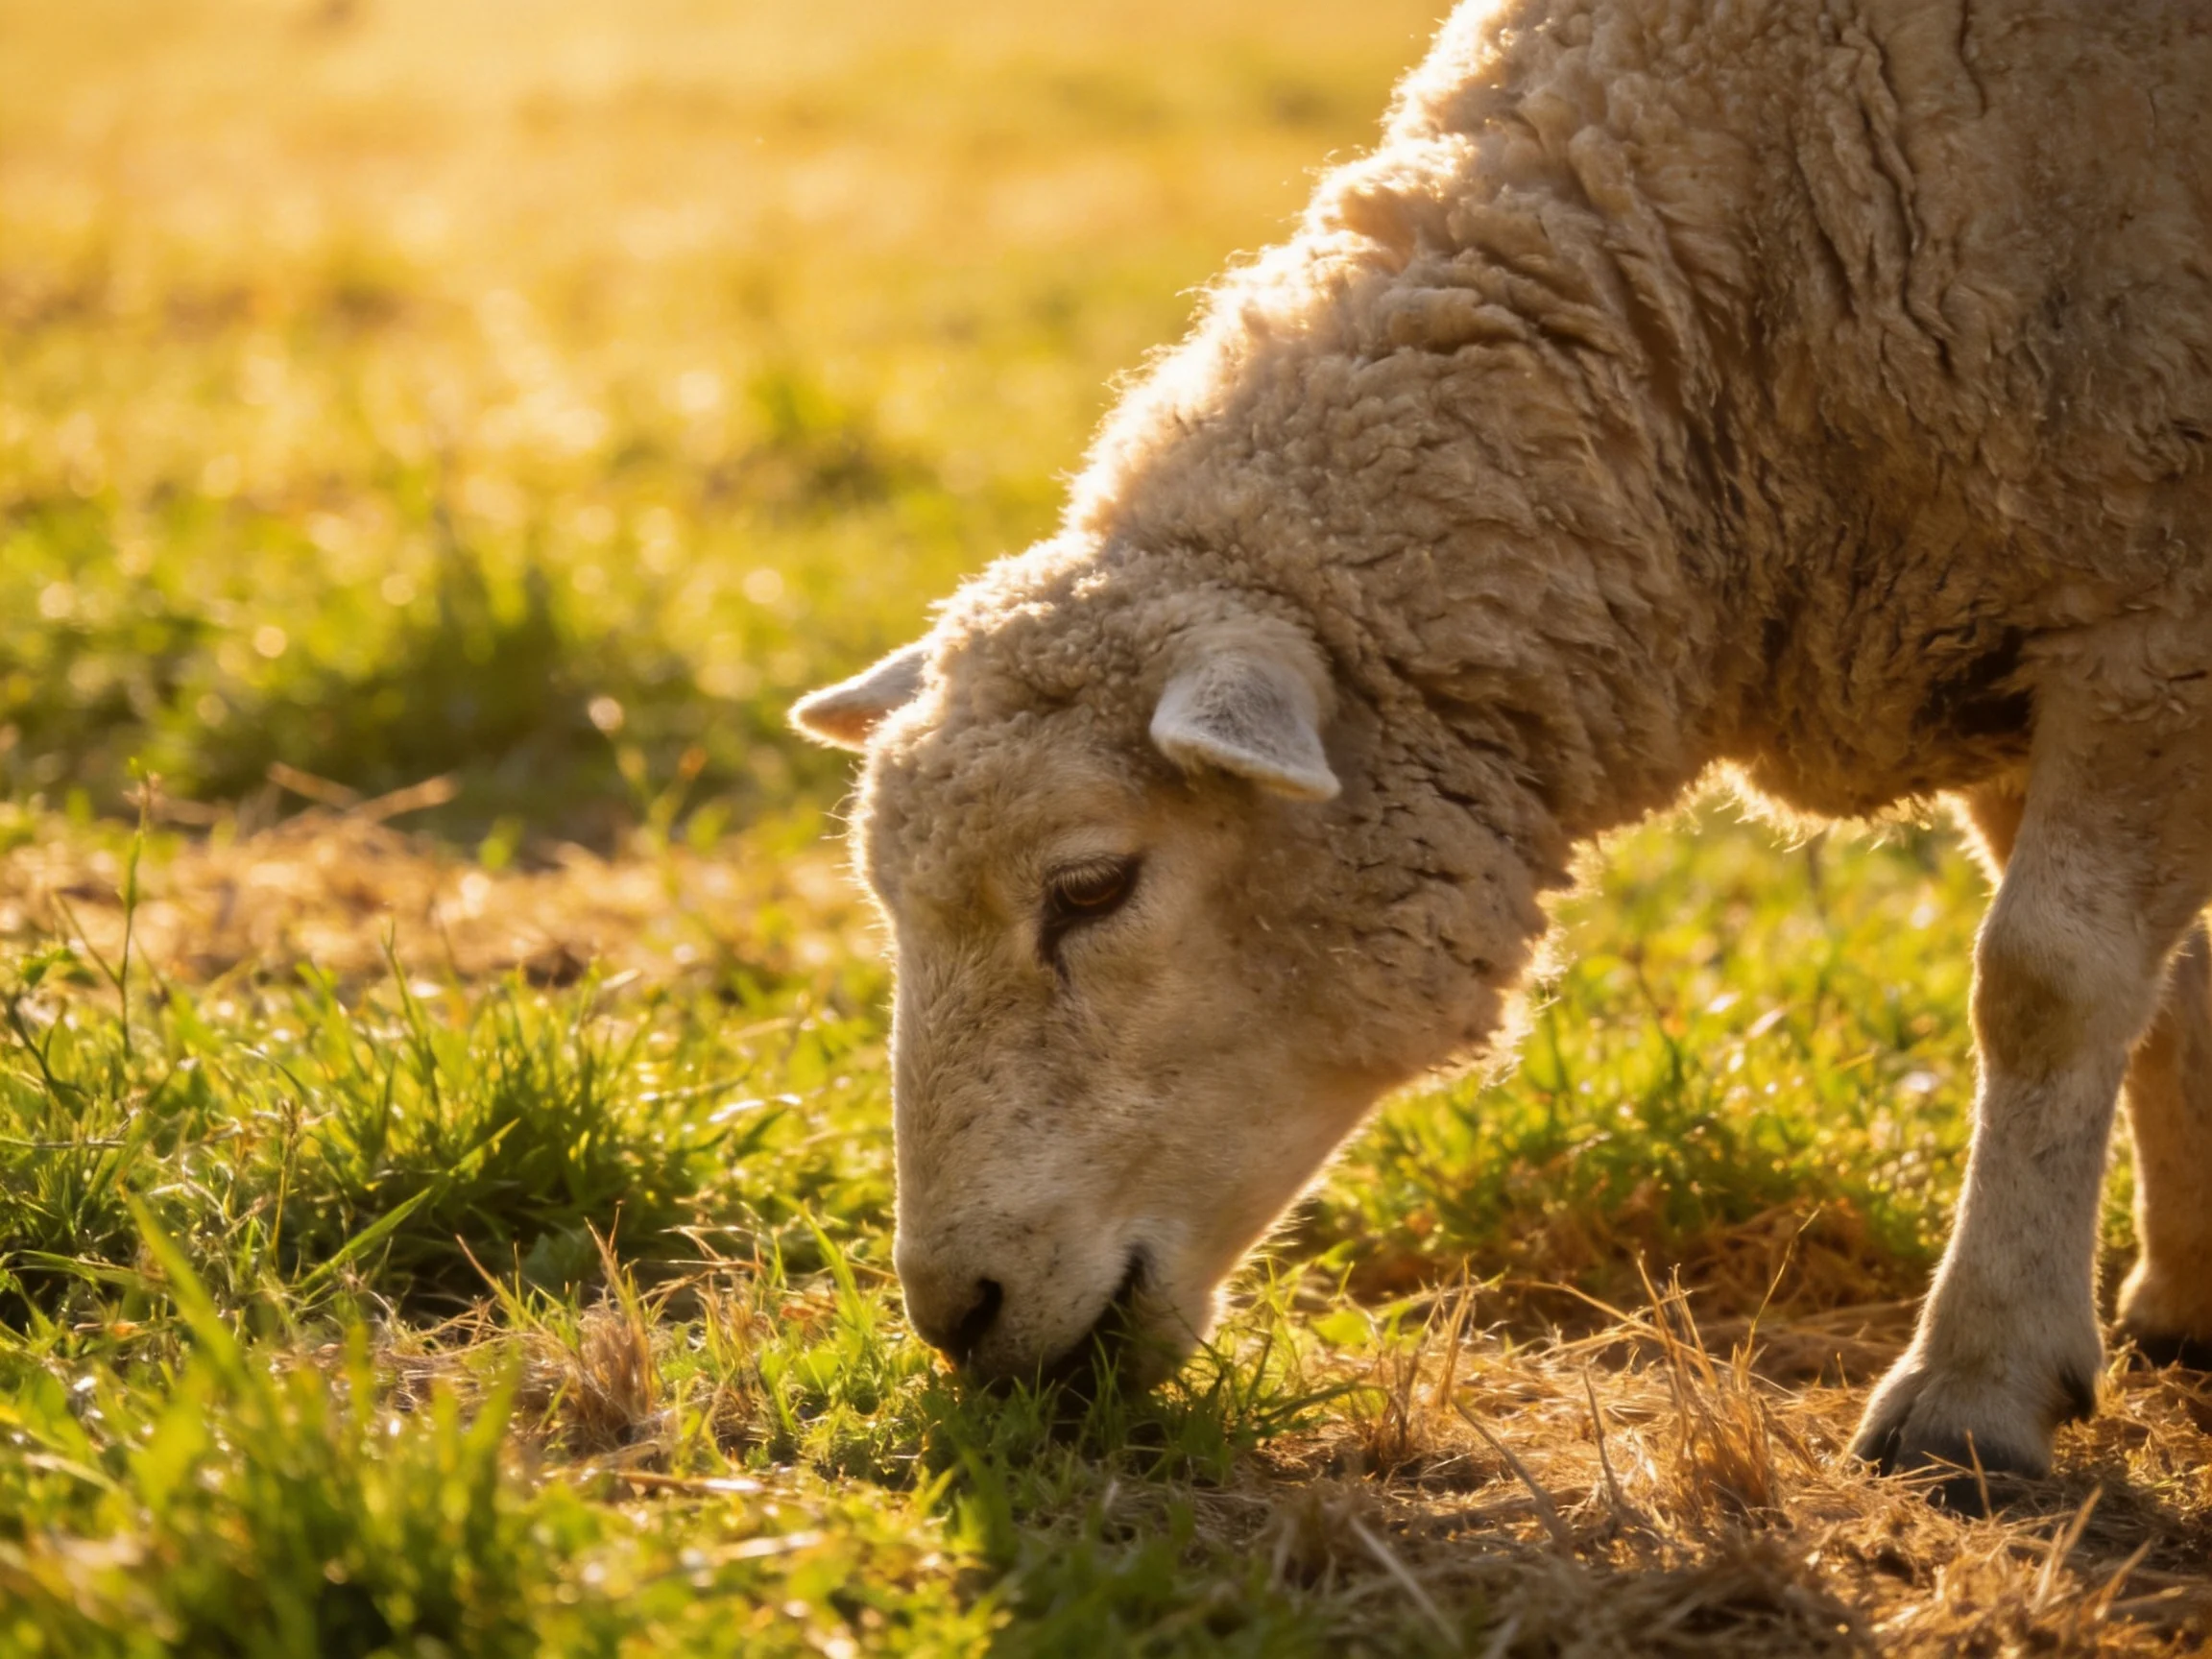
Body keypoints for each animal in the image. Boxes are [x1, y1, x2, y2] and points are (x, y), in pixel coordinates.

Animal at [792, 0, 2212, 1507]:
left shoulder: (2145, 622)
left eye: (1092, 887)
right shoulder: (2020, 643)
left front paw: (1978, 1386)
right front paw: (2186, 1292)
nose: (957, 1315)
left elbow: (2047, 984)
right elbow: (2164, 989)